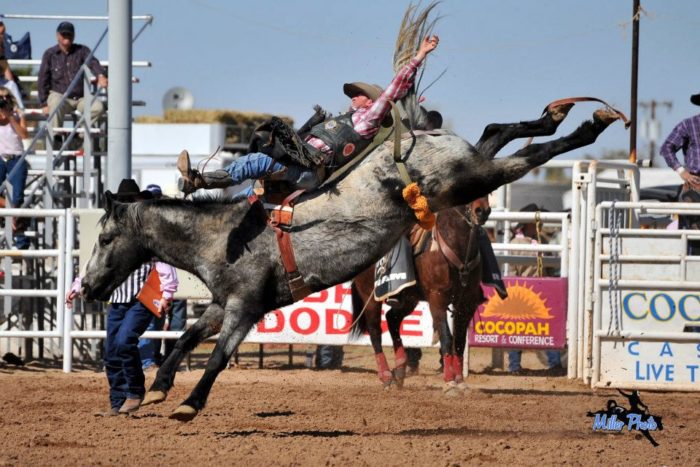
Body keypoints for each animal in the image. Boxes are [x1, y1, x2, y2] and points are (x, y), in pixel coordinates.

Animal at [350, 196, 492, 394]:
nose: (482, 211)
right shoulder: (437, 299)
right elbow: (447, 338)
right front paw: (449, 383)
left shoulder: (466, 303)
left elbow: (459, 341)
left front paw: (461, 382)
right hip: (369, 297)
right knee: (375, 331)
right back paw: (386, 376)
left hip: (409, 298)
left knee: (392, 318)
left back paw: (400, 369)